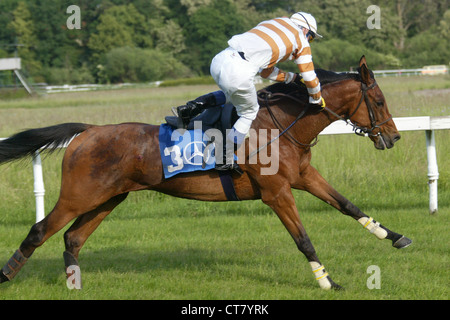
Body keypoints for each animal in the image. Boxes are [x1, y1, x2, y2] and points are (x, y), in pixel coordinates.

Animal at [0, 57, 412, 290]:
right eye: (379, 101)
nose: (393, 136)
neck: (279, 125)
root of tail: (88, 131)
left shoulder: (303, 177)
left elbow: (348, 205)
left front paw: (395, 237)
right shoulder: (277, 192)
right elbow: (303, 239)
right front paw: (327, 281)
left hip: (108, 198)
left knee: (72, 239)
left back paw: (74, 285)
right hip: (78, 196)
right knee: (39, 231)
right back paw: (7, 276)